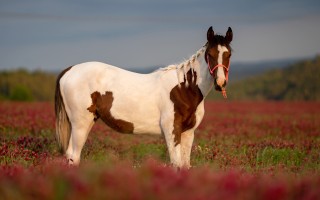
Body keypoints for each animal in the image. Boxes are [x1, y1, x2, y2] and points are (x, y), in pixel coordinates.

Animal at [55, 25, 234, 168]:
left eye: (229, 54)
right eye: (209, 54)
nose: (220, 83)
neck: (184, 89)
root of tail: (69, 70)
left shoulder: (188, 133)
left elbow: (184, 166)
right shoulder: (172, 131)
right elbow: (175, 165)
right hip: (80, 124)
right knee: (74, 157)